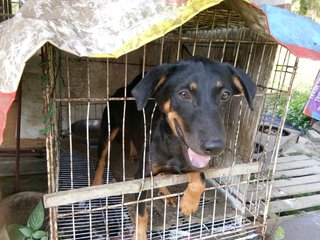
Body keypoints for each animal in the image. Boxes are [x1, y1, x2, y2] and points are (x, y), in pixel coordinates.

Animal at [93, 55, 258, 238]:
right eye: (184, 94)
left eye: (225, 95)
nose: (215, 147)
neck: (175, 146)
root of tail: (122, 90)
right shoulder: (141, 176)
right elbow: (142, 213)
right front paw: (140, 235)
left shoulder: (190, 163)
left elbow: (200, 178)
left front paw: (188, 204)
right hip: (108, 130)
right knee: (101, 159)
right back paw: (96, 183)